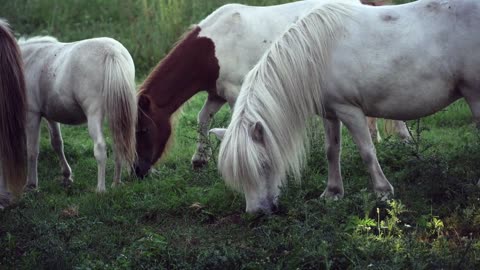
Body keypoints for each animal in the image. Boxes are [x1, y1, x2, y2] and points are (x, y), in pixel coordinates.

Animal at [19, 35, 137, 193]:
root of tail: (111, 52)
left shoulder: (32, 114)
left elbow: (32, 150)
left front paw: (31, 184)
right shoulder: (50, 116)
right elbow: (57, 143)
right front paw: (66, 175)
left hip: (94, 115)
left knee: (100, 148)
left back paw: (101, 189)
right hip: (116, 116)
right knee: (119, 144)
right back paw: (116, 183)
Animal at [134, 0, 408, 177]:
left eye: (144, 130)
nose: (138, 170)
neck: (212, 48)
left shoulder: (236, 94)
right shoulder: (216, 93)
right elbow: (203, 119)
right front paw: (199, 159)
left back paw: (404, 139)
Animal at [212, 0, 480, 213]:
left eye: (264, 165)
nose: (256, 213)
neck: (316, 54)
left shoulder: (350, 111)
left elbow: (367, 151)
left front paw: (383, 192)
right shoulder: (330, 113)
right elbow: (332, 151)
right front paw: (332, 193)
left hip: (475, 96)